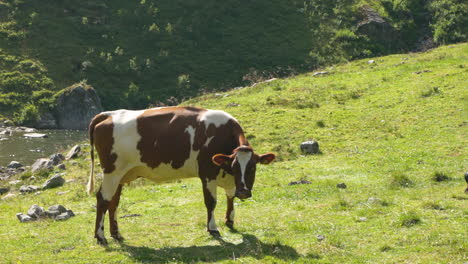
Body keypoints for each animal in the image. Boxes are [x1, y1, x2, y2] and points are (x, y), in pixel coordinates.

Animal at [88, 105, 276, 245]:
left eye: (252, 167)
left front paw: (229, 220)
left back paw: (116, 234)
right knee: (103, 199)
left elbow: (230, 197)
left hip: (121, 174)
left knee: (113, 202)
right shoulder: (207, 173)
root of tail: (108, 114)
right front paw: (212, 228)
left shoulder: (227, 177)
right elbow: (211, 202)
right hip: (112, 171)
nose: (243, 192)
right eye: (235, 166)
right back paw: (100, 236)